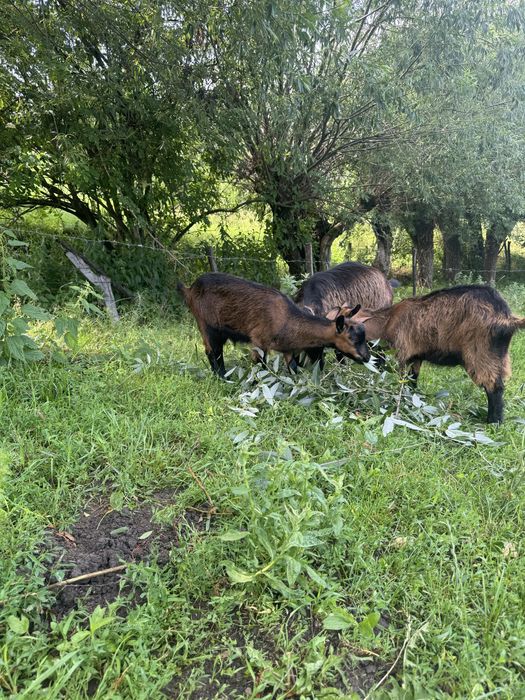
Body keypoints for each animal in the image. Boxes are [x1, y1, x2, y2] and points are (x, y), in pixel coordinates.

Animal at [178, 273, 370, 377]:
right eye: (352, 339)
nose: (367, 358)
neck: (287, 319)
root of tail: (190, 289)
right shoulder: (259, 341)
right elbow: (260, 367)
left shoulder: (288, 349)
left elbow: (293, 368)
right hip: (207, 325)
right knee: (213, 352)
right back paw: (222, 377)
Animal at [348, 285, 525, 423]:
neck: (388, 320)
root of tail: (505, 318)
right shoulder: (416, 356)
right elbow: (412, 380)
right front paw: (413, 401)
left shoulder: (403, 352)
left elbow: (402, 380)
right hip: (499, 356)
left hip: (480, 353)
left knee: (494, 386)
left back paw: (493, 422)